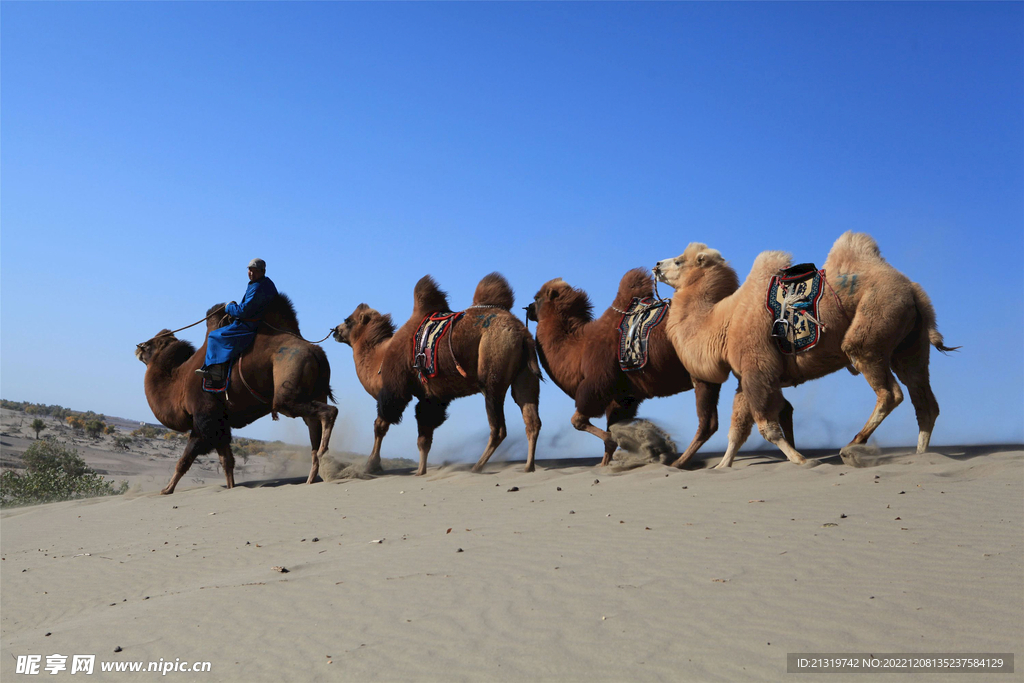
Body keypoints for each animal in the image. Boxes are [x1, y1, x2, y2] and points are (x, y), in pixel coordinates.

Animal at [133, 294, 335, 491]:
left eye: (152, 345)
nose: (139, 346)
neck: (179, 385)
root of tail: (317, 352)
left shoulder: (205, 417)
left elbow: (185, 459)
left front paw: (166, 490)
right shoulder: (221, 422)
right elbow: (227, 461)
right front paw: (231, 487)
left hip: (288, 388)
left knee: (328, 412)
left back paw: (323, 453)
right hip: (314, 393)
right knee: (313, 425)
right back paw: (312, 477)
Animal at [333, 272, 544, 475]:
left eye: (347, 320)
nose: (334, 330)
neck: (380, 356)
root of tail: (521, 333)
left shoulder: (395, 389)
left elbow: (381, 425)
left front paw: (372, 465)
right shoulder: (431, 397)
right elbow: (424, 437)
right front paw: (421, 471)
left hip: (492, 374)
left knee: (498, 427)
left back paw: (477, 467)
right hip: (525, 375)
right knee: (532, 420)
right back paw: (528, 466)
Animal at [528, 270, 737, 466]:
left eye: (536, 298)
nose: (528, 308)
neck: (578, 349)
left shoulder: (596, 385)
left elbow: (580, 421)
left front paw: (628, 444)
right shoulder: (625, 399)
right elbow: (611, 429)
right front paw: (604, 465)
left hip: (701, 373)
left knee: (707, 423)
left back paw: (679, 462)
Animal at [655, 232, 958, 466]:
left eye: (679, 261)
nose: (657, 264)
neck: (723, 321)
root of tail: (913, 289)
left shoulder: (757, 369)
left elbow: (766, 427)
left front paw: (801, 460)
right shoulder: (746, 377)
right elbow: (737, 429)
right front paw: (722, 467)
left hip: (870, 331)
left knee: (890, 392)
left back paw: (853, 445)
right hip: (910, 345)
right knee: (924, 402)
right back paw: (921, 456)